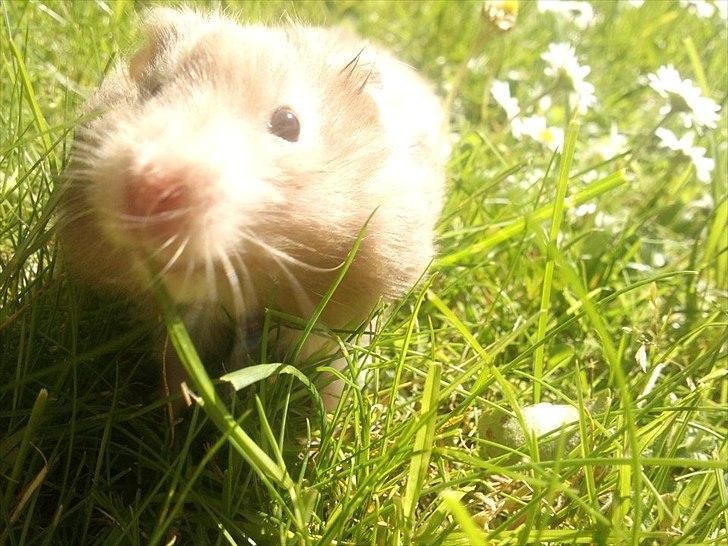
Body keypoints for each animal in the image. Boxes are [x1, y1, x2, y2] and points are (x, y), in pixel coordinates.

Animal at [58, 7, 448, 408]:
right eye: (154, 91)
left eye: (288, 123)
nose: (147, 191)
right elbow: (175, 368)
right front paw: (174, 412)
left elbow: (333, 376)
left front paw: (329, 421)